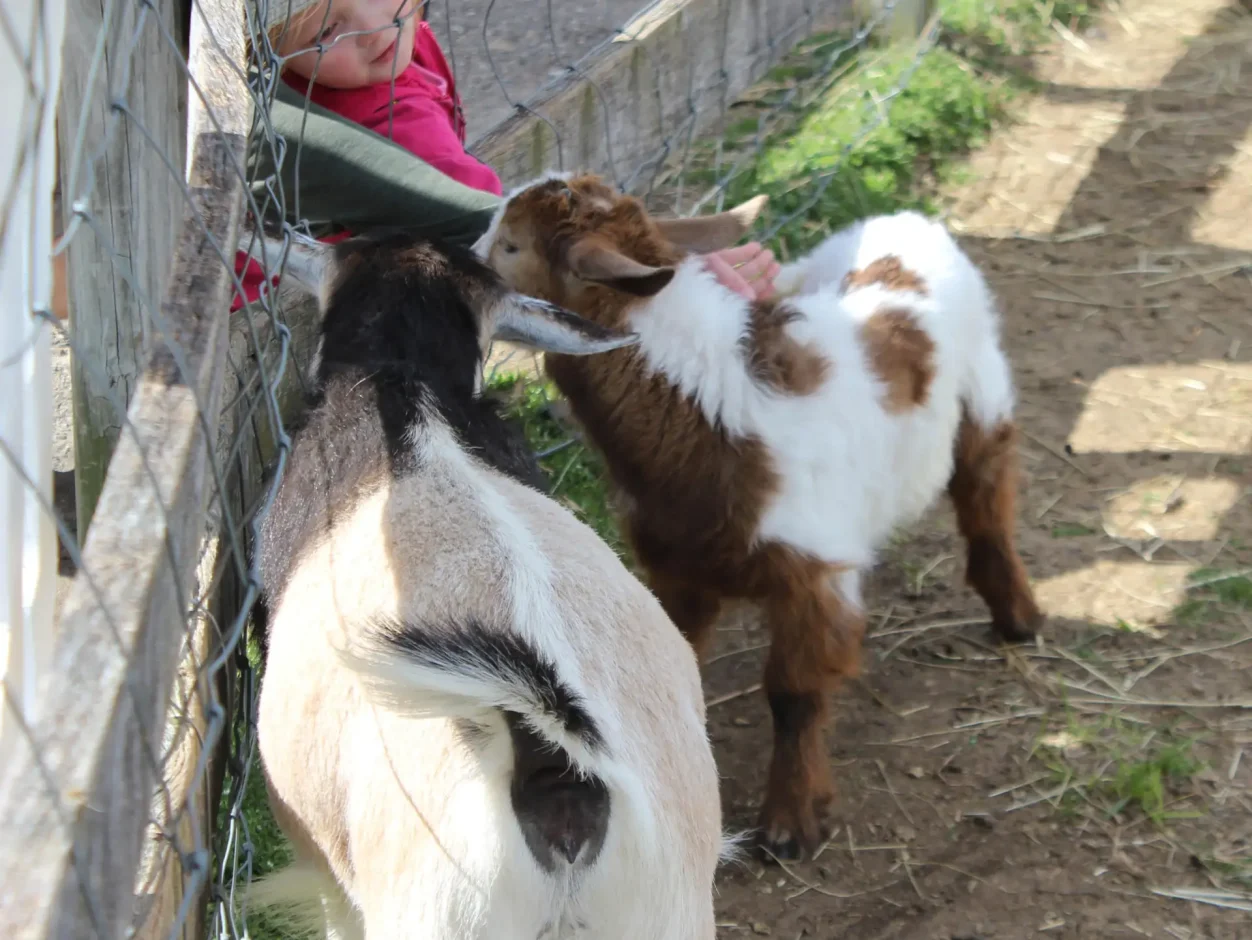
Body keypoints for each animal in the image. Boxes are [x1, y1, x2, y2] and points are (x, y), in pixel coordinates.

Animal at [477, 174, 1044, 861]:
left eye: (510, 245)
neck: (712, 411)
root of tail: (906, 220)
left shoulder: (814, 574)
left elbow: (794, 695)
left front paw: (789, 821)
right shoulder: (677, 564)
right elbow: (675, 659)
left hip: (984, 393)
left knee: (987, 499)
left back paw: (1018, 616)